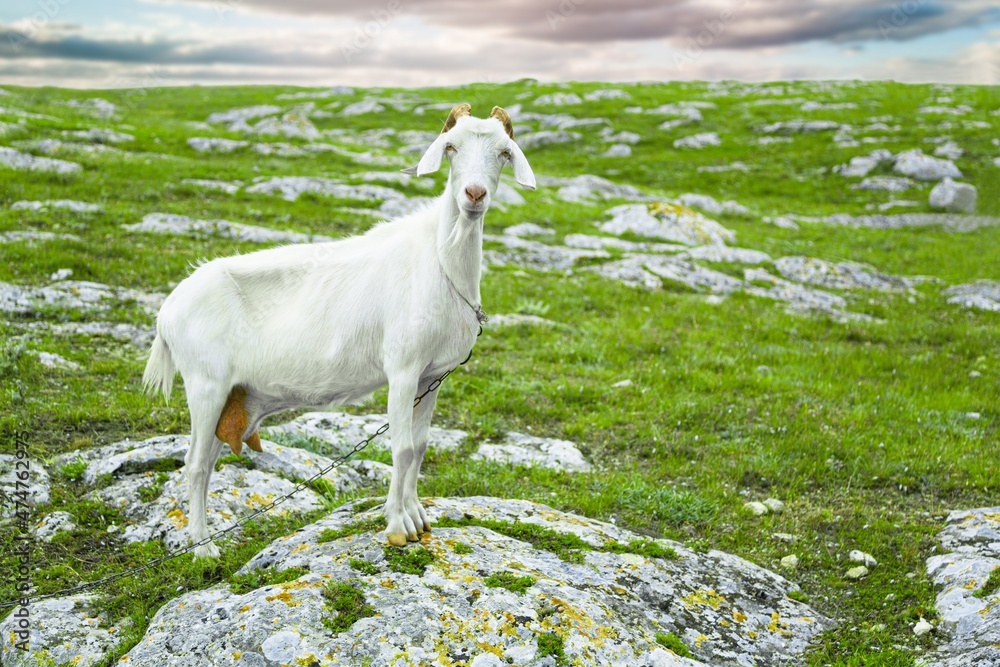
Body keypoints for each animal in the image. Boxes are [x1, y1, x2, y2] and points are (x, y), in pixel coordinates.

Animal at [144, 103, 536, 552]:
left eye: (504, 152)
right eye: (451, 147)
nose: (474, 195)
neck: (439, 262)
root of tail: (167, 311)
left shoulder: (431, 376)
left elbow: (419, 447)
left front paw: (418, 517)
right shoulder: (403, 369)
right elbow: (402, 448)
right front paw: (397, 527)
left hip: (229, 396)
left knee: (208, 459)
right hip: (204, 385)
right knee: (194, 464)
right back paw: (203, 547)